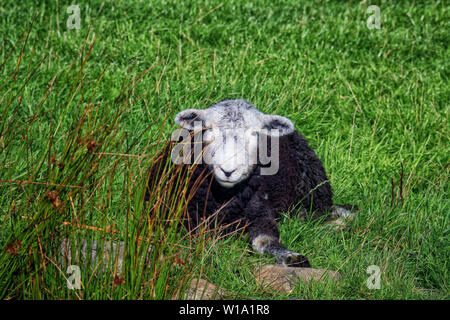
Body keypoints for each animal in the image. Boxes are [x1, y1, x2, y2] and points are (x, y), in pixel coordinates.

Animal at [148, 98, 352, 268]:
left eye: (256, 134)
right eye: (209, 129)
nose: (228, 170)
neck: (222, 199)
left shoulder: (259, 212)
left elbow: (266, 240)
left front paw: (290, 257)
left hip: (314, 191)